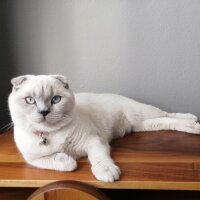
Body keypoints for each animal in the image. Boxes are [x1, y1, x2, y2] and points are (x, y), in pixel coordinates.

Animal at [8, 74, 200, 182]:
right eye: (30, 100)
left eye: (56, 99)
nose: (44, 112)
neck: (51, 134)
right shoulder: (32, 158)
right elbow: (62, 162)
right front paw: (68, 159)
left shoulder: (94, 141)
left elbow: (99, 159)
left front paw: (107, 173)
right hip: (143, 125)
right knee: (165, 120)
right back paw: (193, 124)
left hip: (143, 113)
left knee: (168, 114)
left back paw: (193, 121)